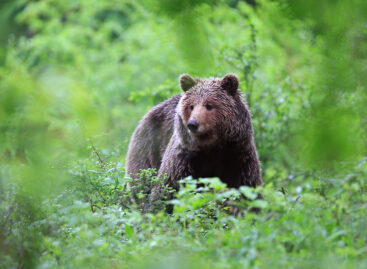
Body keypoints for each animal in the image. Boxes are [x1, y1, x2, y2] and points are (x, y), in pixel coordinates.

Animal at [126, 72, 262, 192]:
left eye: (209, 105)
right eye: (191, 106)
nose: (192, 124)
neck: (212, 147)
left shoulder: (239, 156)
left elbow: (246, 187)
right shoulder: (183, 159)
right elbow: (168, 187)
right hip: (148, 148)